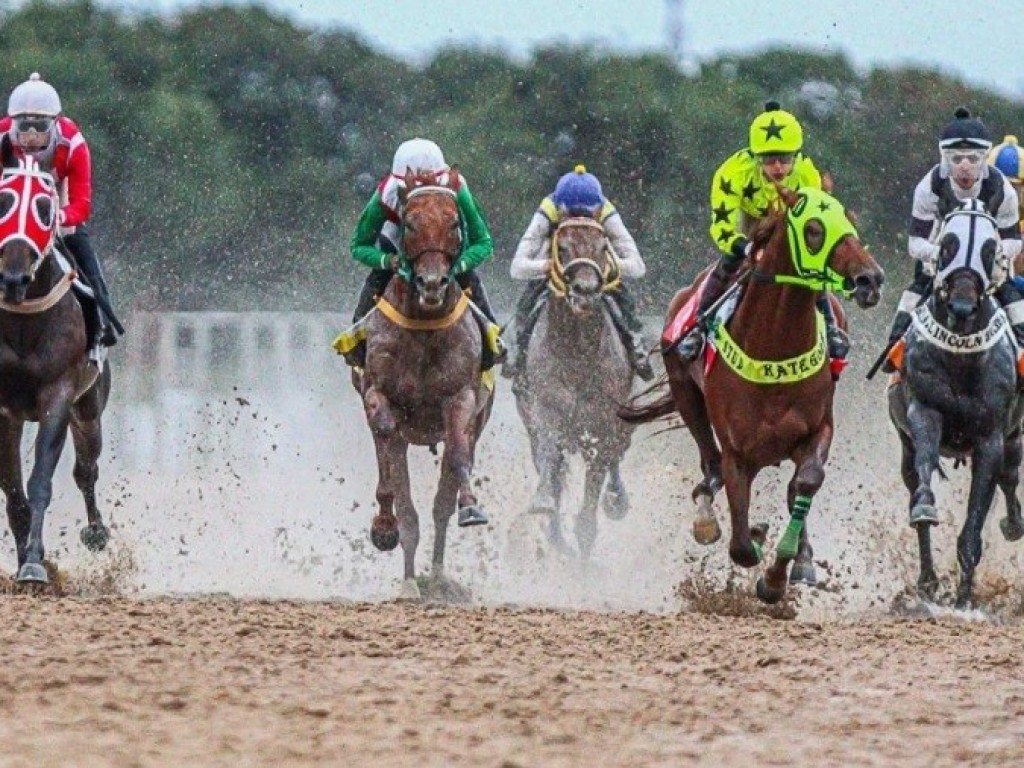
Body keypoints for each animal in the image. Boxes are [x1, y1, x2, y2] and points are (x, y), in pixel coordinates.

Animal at [618, 188, 884, 606]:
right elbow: (741, 546)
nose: (870, 279)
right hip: (685, 391)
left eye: (850, 221)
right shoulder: (738, 453)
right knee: (710, 466)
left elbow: (806, 482)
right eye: (813, 228)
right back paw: (709, 512)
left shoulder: (817, 429)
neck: (774, 346)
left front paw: (781, 573)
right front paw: (758, 542)